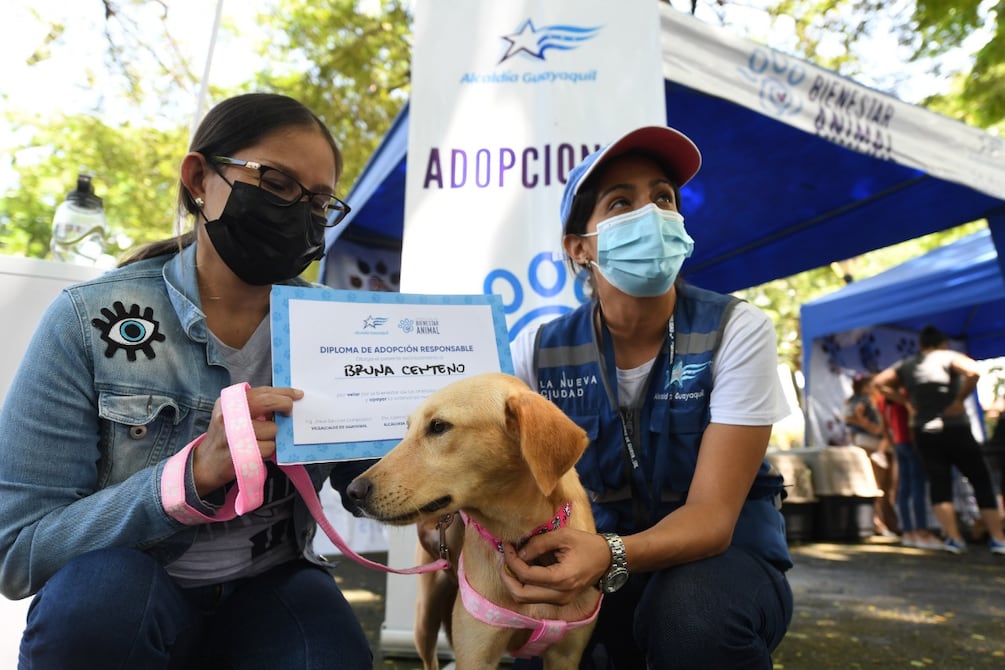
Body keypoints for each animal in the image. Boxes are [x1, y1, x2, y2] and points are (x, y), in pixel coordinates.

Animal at [347, 371, 594, 670]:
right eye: (407, 428)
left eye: (438, 426)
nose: (353, 492)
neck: (519, 534)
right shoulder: (477, 655)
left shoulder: (565, 655)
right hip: (425, 620)